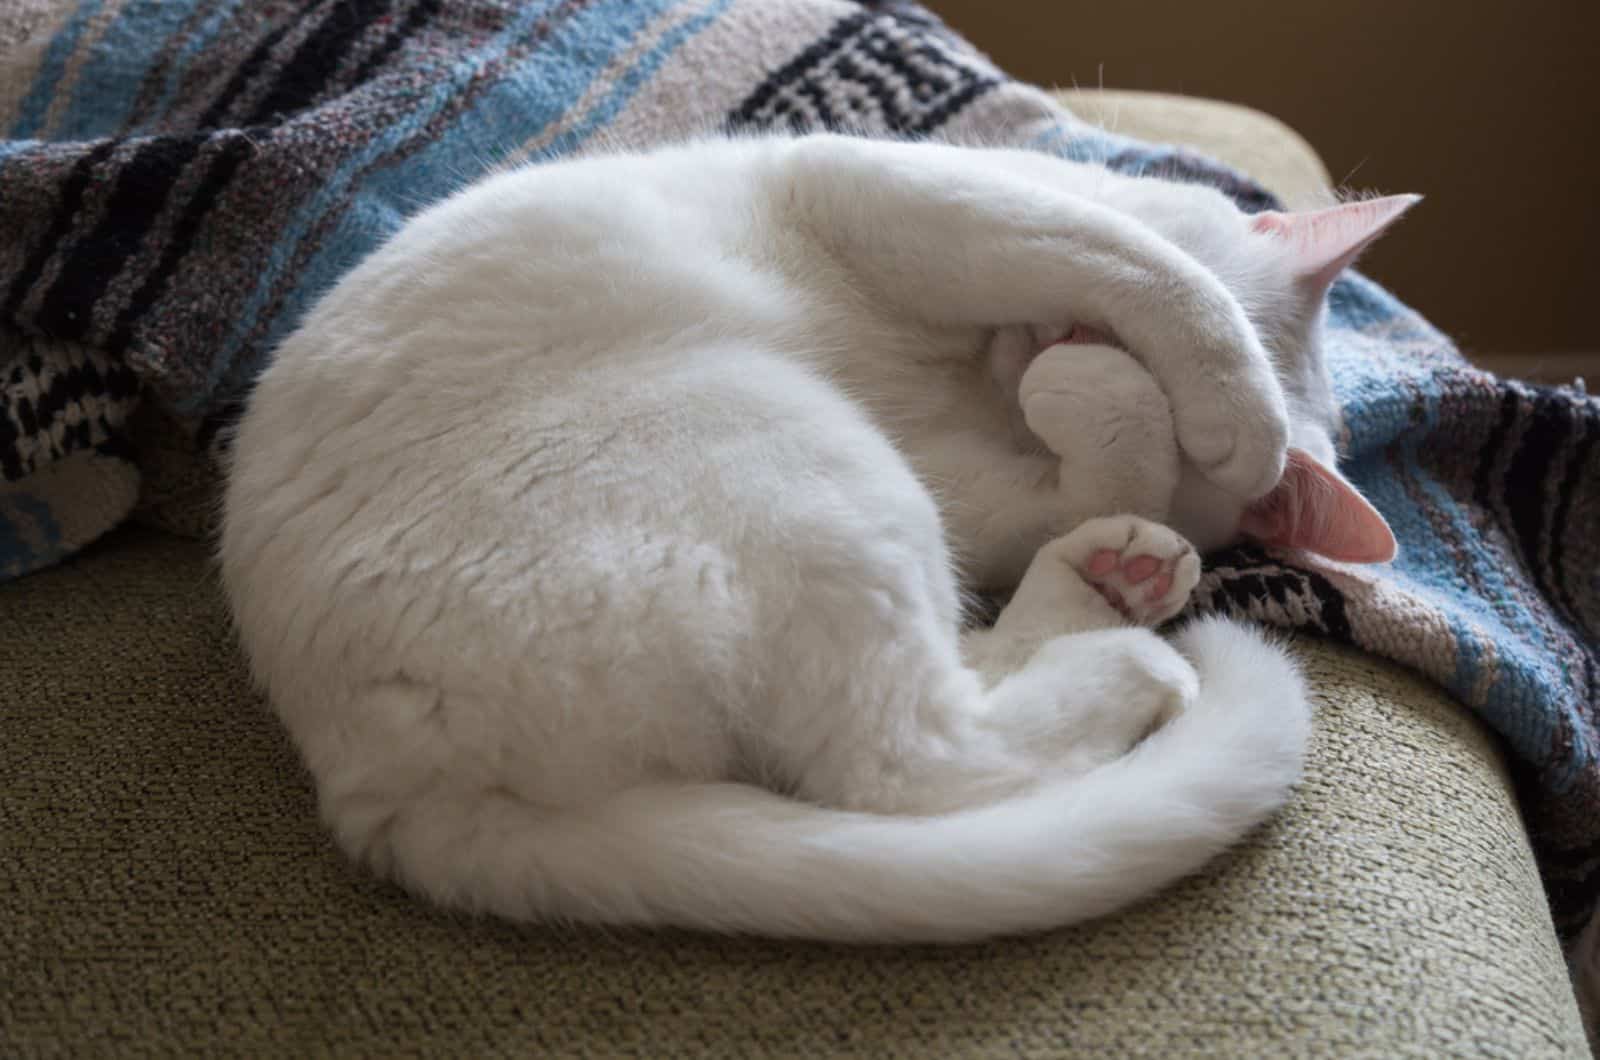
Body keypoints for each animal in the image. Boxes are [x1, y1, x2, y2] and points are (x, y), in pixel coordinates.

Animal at [216, 135, 1414, 947]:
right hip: (800, 451)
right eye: (1081, 324)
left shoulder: (980, 485)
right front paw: (1221, 402)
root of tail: (383, 788)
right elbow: (1150, 268)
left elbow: (1099, 463)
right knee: (906, 752)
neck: (968, 389)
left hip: (834, 481)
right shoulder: (912, 199)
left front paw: (1127, 422)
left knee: (913, 748)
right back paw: (1122, 625)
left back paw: (1115, 596)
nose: (1054, 348)